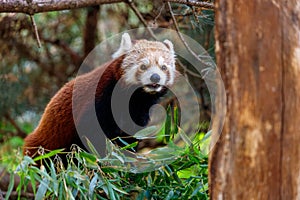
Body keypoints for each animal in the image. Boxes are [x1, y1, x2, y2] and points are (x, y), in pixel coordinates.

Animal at [24, 33, 178, 159]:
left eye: (163, 67)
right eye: (143, 66)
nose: (155, 77)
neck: (134, 98)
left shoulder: (139, 112)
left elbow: (130, 137)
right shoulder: (100, 98)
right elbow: (90, 134)